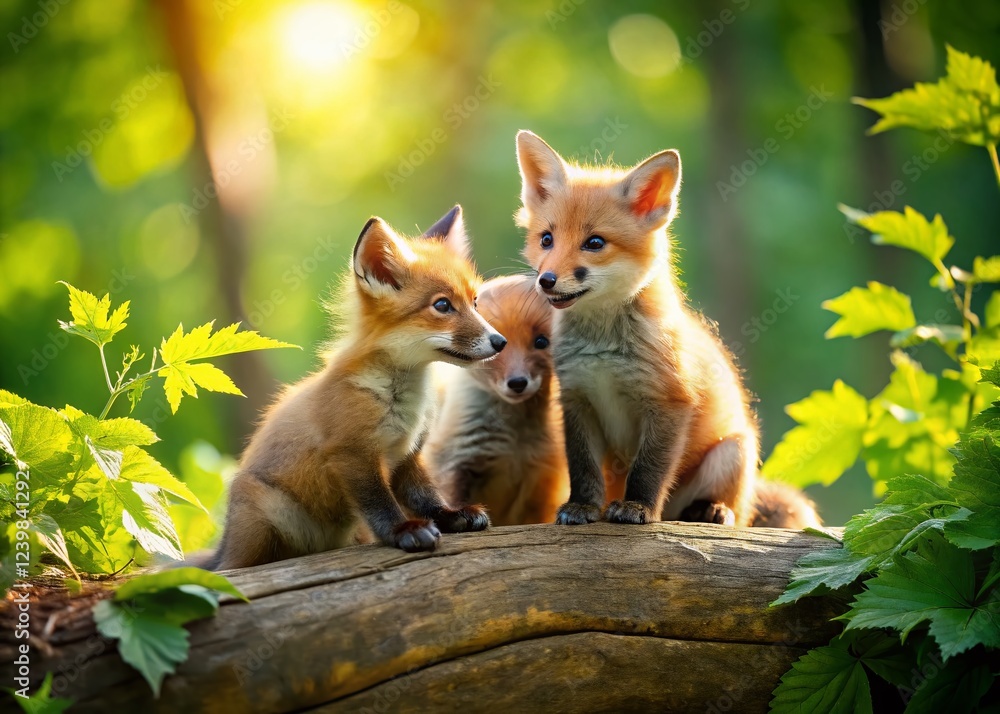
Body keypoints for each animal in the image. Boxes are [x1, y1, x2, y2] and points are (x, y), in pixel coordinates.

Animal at [208, 206, 503, 569]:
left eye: (475, 302)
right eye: (443, 306)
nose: (500, 341)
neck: (403, 401)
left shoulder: (408, 455)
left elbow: (426, 495)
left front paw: (450, 516)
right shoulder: (352, 453)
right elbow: (379, 502)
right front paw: (404, 531)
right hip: (263, 520)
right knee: (232, 569)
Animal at [425, 274, 569, 525]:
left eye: (541, 342)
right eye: (499, 346)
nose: (518, 383)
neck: (514, 442)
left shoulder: (540, 478)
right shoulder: (455, 461)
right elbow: (451, 499)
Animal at [516, 130, 811, 529]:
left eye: (595, 243)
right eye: (546, 239)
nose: (545, 281)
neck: (603, 352)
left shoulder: (670, 402)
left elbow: (649, 469)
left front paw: (637, 507)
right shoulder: (577, 400)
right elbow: (583, 468)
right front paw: (583, 507)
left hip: (732, 452)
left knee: (732, 511)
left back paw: (712, 510)